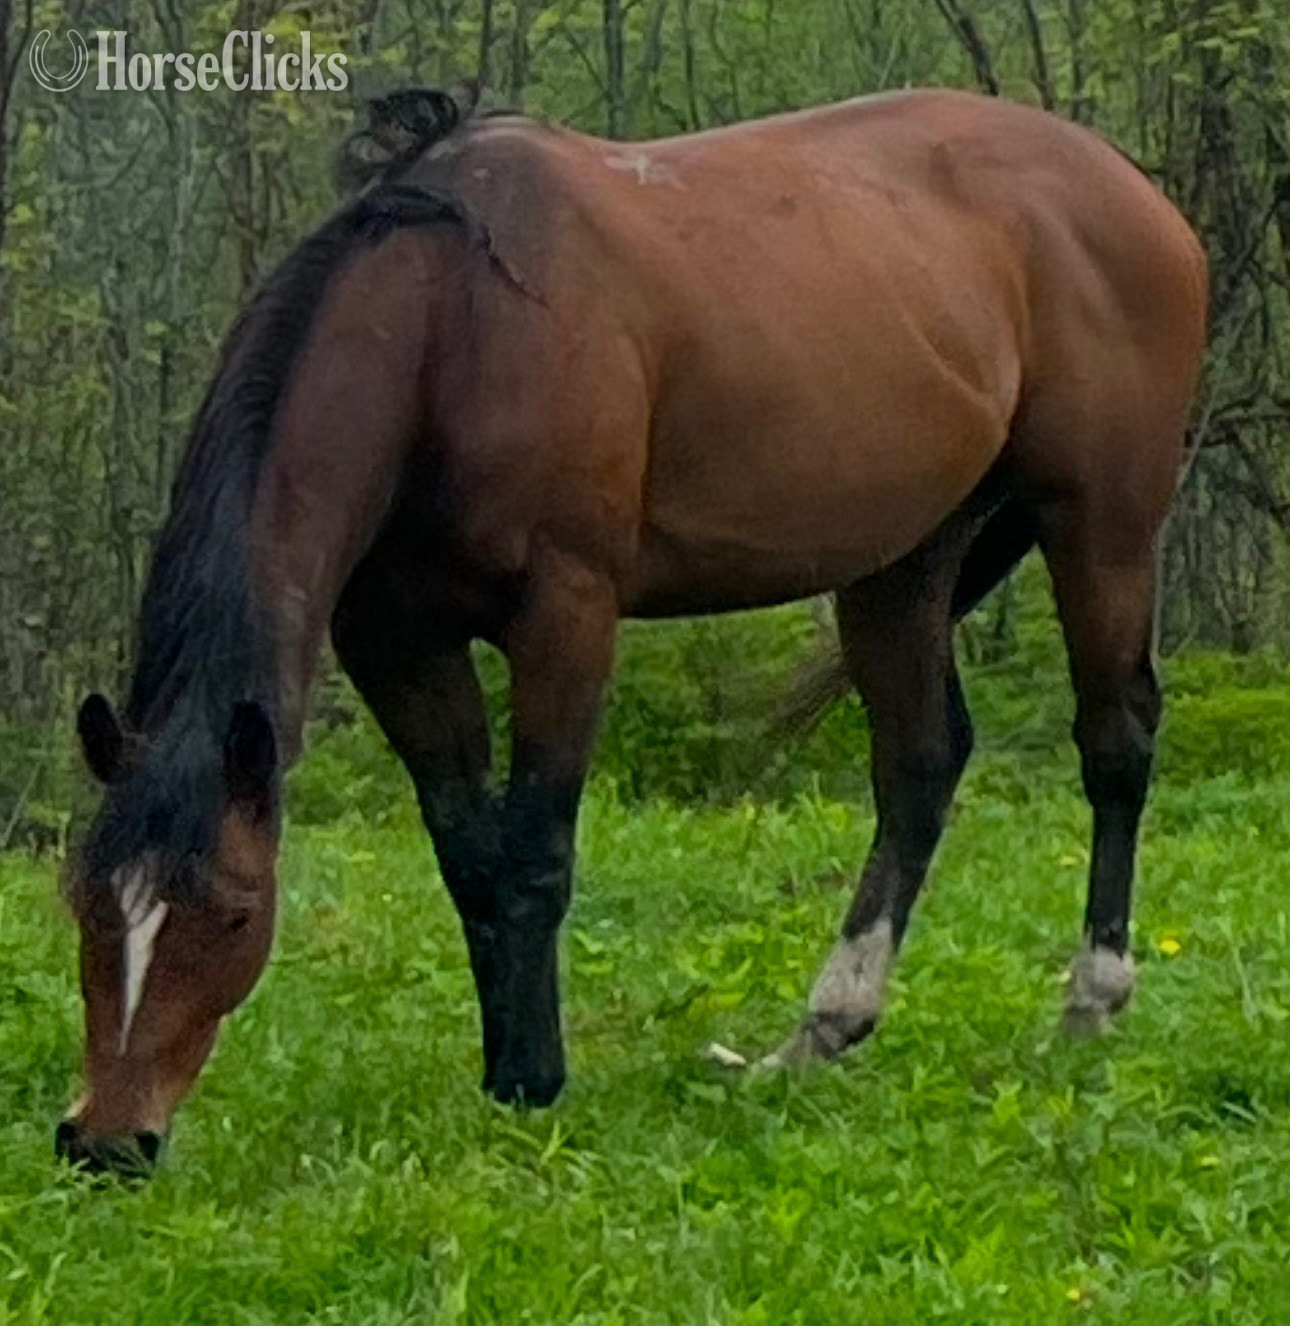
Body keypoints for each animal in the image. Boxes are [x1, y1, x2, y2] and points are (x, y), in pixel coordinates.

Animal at [58, 86, 1208, 1176]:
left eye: (234, 913)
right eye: (86, 904)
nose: (105, 1142)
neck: (451, 329)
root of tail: (1132, 194)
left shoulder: (566, 616)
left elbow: (534, 852)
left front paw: (532, 1081)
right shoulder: (398, 645)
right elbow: (469, 854)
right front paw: (504, 1065)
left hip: (1100, 521)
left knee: (1115, 740)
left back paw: (1092, 1002)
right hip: (905, 562)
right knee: (920, 765)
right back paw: (823, 1030)